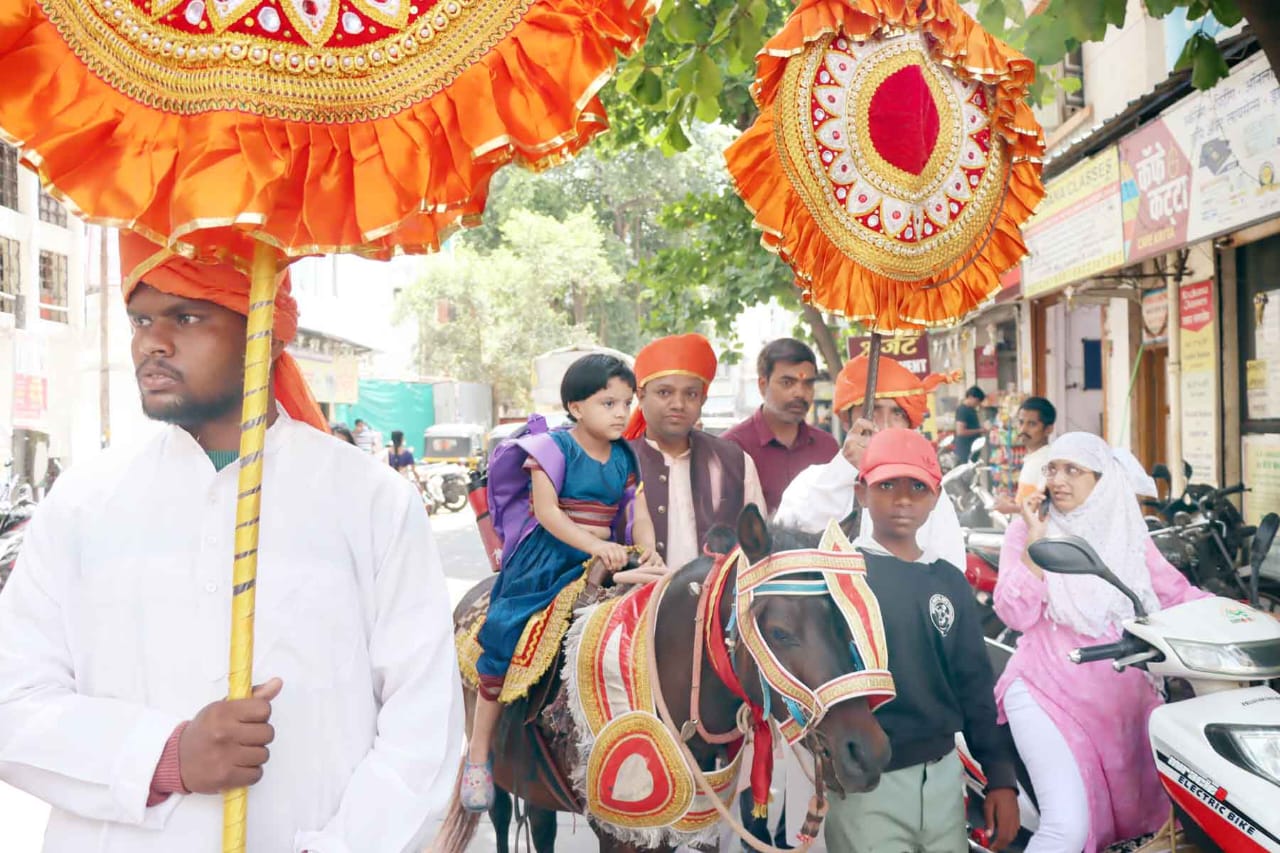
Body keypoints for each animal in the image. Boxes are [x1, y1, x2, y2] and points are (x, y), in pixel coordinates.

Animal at [432, 504, 890, 850]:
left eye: (846, 623)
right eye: (778, 632)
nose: (866, 752)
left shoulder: (699, 826)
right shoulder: (622, 834)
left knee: (542, 828)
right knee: (501, 817)